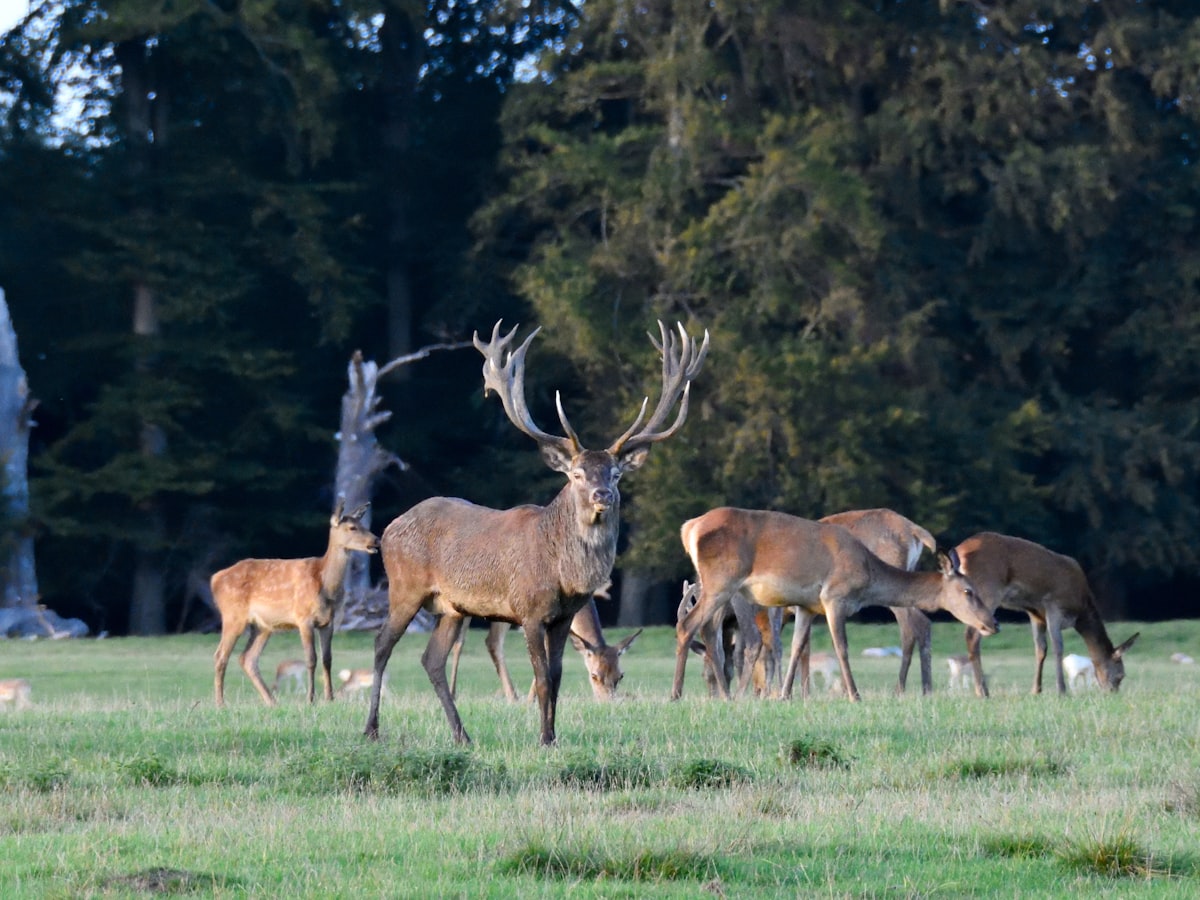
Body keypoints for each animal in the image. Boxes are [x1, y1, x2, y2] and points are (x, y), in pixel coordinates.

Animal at [212, 501, 379, 707]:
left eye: (363, 525)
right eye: (352, 527)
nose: (376, 540)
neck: (326, 586)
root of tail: (215, 579)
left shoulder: (328, 621)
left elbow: (327, 659)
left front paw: (329, 698)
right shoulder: (303, 617)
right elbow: (311, 658)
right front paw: (310, 699)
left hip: (262, 626)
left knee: (247, 658)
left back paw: (271, 701)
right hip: (233, 615)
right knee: (220, 655)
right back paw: (220, 703)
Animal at [365, 319, 707, 746]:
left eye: (615, 473)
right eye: (576, 474)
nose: (602, 494)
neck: (562, 573)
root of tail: (389, 528)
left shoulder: (562, 616)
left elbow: (557, 677)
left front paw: (553, 735)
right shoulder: (528, 610)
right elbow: (542, 677)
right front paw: (543, 739)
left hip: (453, 607)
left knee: (431, 659)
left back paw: (462, 735)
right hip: (405, 587)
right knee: (381, 644)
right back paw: (372, 729)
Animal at [673, 508, 999, 702]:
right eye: (969, 590)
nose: (993, 623)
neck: (866, 575)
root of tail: (690, 528)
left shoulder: (806, 606)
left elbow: (796, 647)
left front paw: (785, 694)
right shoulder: (834, 597)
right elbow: (840, 647)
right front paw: (854, 694)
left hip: (722, 588)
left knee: (705, 631)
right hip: (724, 582)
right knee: (689, 625)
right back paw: (679, 693)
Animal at [951, 532, 1139, 697]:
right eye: (1121, 675)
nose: (1112, 693)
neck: (1081, 608)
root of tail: (959, 551)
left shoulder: (1035, 613)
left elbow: (1040, 649)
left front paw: (1036, 690)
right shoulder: (1054, 605)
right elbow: (1058, 646)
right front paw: (1062, 691)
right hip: (988, 589)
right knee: (972, 635)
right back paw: (982, 691)